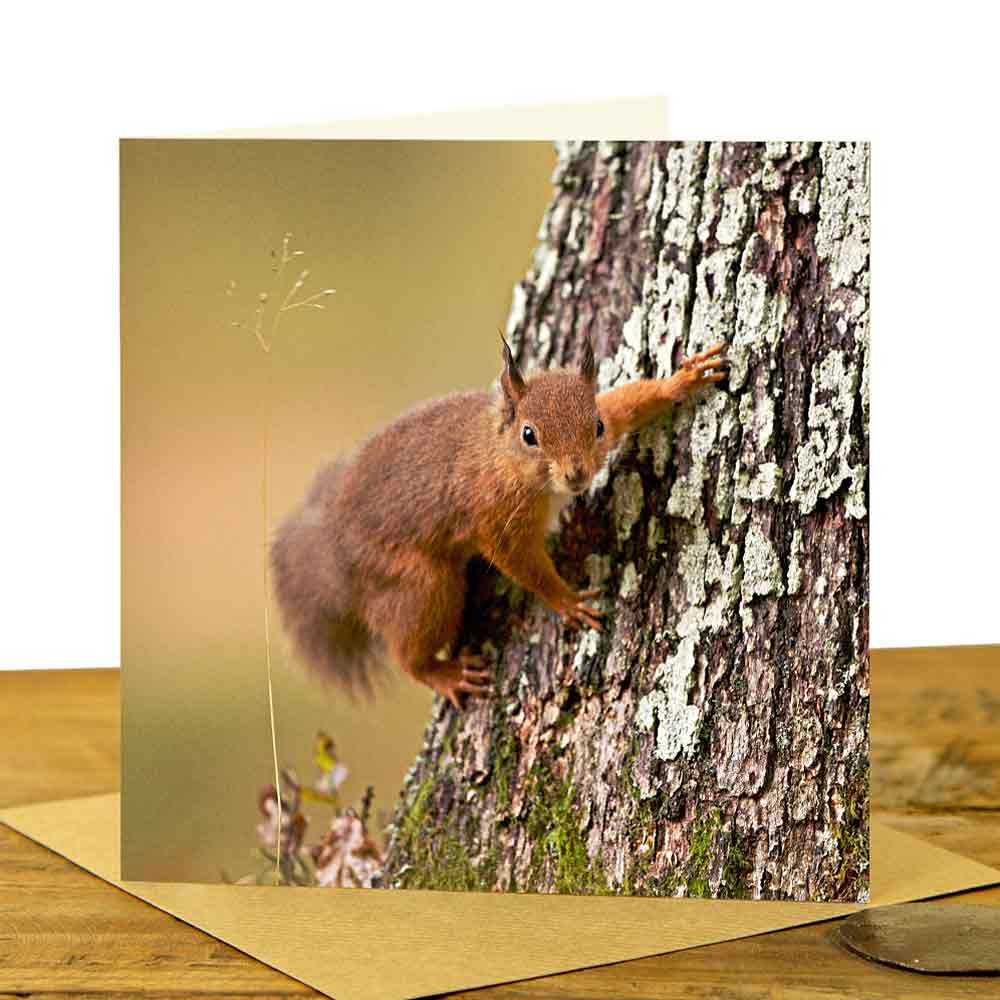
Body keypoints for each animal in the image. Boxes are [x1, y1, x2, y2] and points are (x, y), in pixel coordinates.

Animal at [270, 337, 728, 710]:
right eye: (529, 435)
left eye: (596, 425)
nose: (577, 475)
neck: (503, 457)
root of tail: (336, 559)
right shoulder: (496, 518)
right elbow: (522, 564)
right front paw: (567, 600)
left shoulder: (612, 419)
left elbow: (628, 402)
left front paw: (683, 379)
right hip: (420, 583)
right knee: (408, 653)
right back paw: (444, 674)